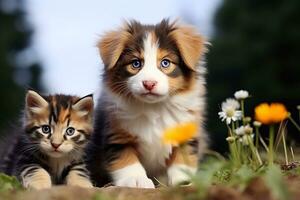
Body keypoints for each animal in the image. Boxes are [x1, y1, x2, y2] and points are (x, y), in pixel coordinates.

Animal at [88, 18, 207, 188]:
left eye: (165, 63)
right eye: (136, 63)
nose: (149, 84)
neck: (154, 107)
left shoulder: (186, 130)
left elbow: (183, 158)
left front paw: (183, 180)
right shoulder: (117, 134)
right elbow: (127, 159)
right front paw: (136, 180)